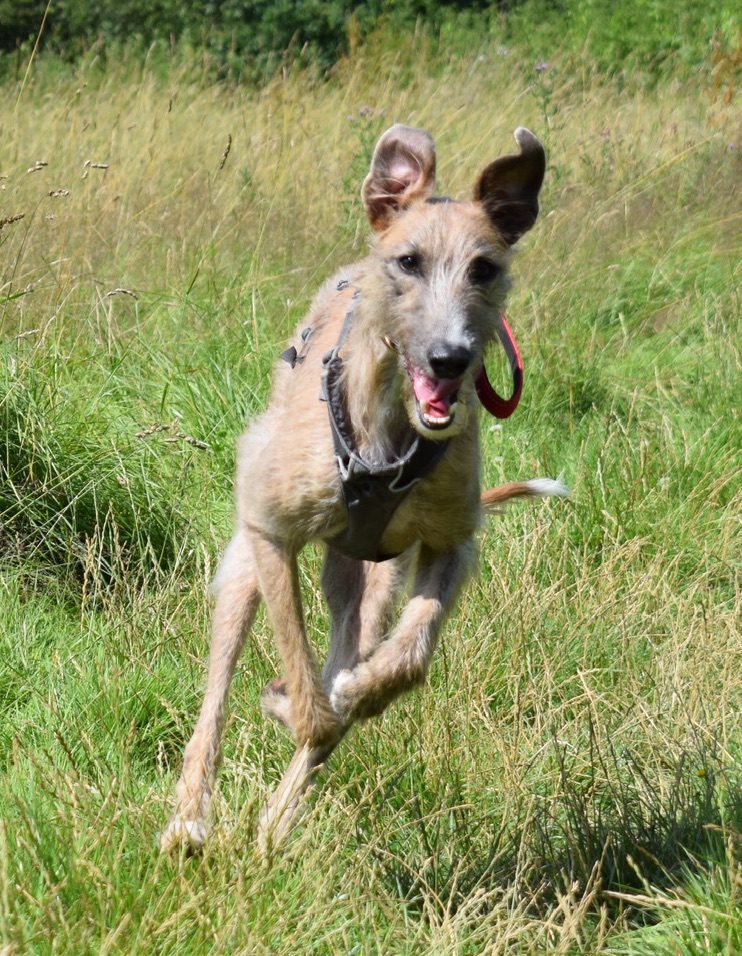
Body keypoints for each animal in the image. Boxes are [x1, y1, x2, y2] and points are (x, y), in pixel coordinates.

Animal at [164, 121, 568, 852]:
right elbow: (306, 692)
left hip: (368, 581)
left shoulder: (450, 544)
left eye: (485, 269)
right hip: (243, 567)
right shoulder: (271, 534)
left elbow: (406, 660)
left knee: (353, 645)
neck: (388, 434)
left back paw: (277, 820)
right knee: (216, 697)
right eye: (408, 261)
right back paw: (191, 817)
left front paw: (356, 692)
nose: (450, 359)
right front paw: (295, 702)